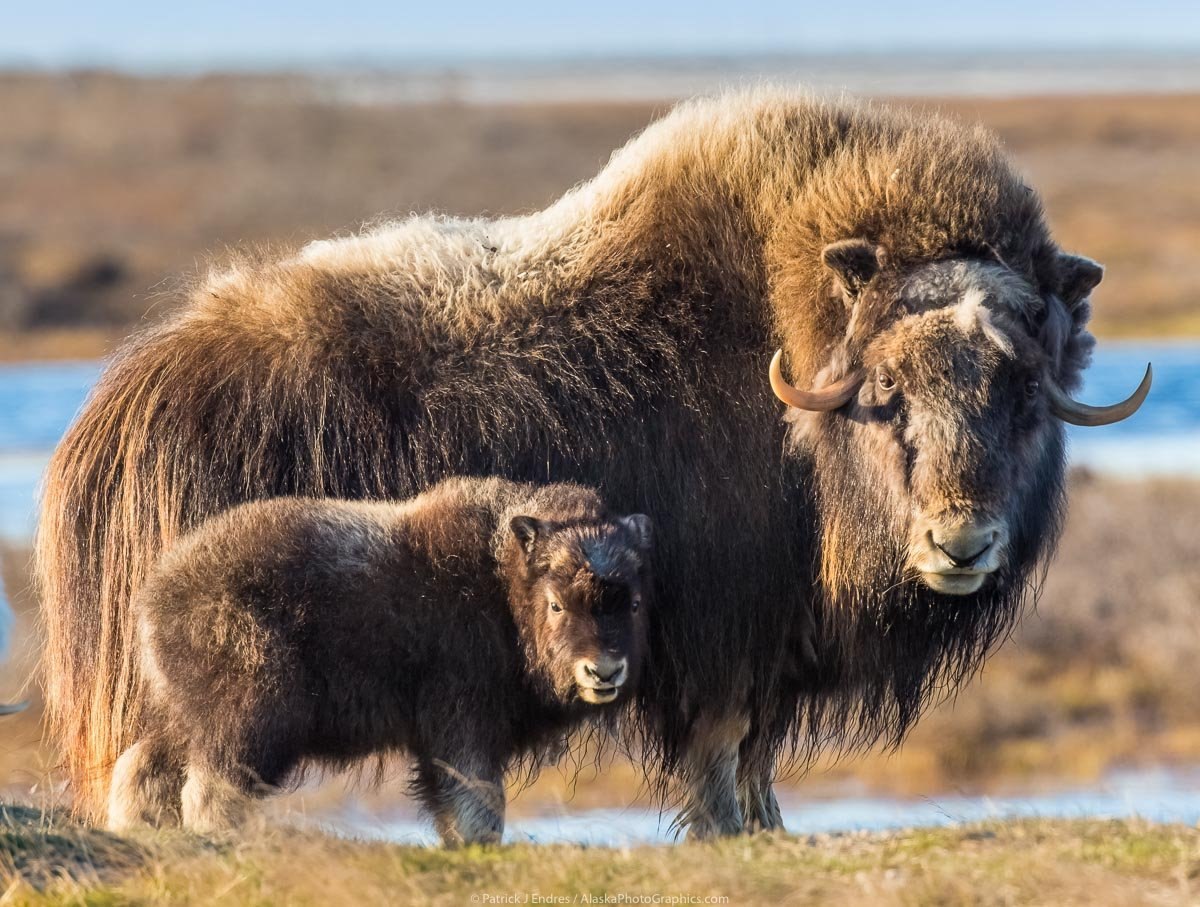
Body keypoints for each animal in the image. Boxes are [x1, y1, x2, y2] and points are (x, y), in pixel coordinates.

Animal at [110, 477, 657, 839]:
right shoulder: (463, 721)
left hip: (183, 715)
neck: (501, 588)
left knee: (142, 767)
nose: (604, 671)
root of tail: (156, 594)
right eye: (557, 604)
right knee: (213, 785)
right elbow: (477, 802)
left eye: (633, 602)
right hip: (250, 712)